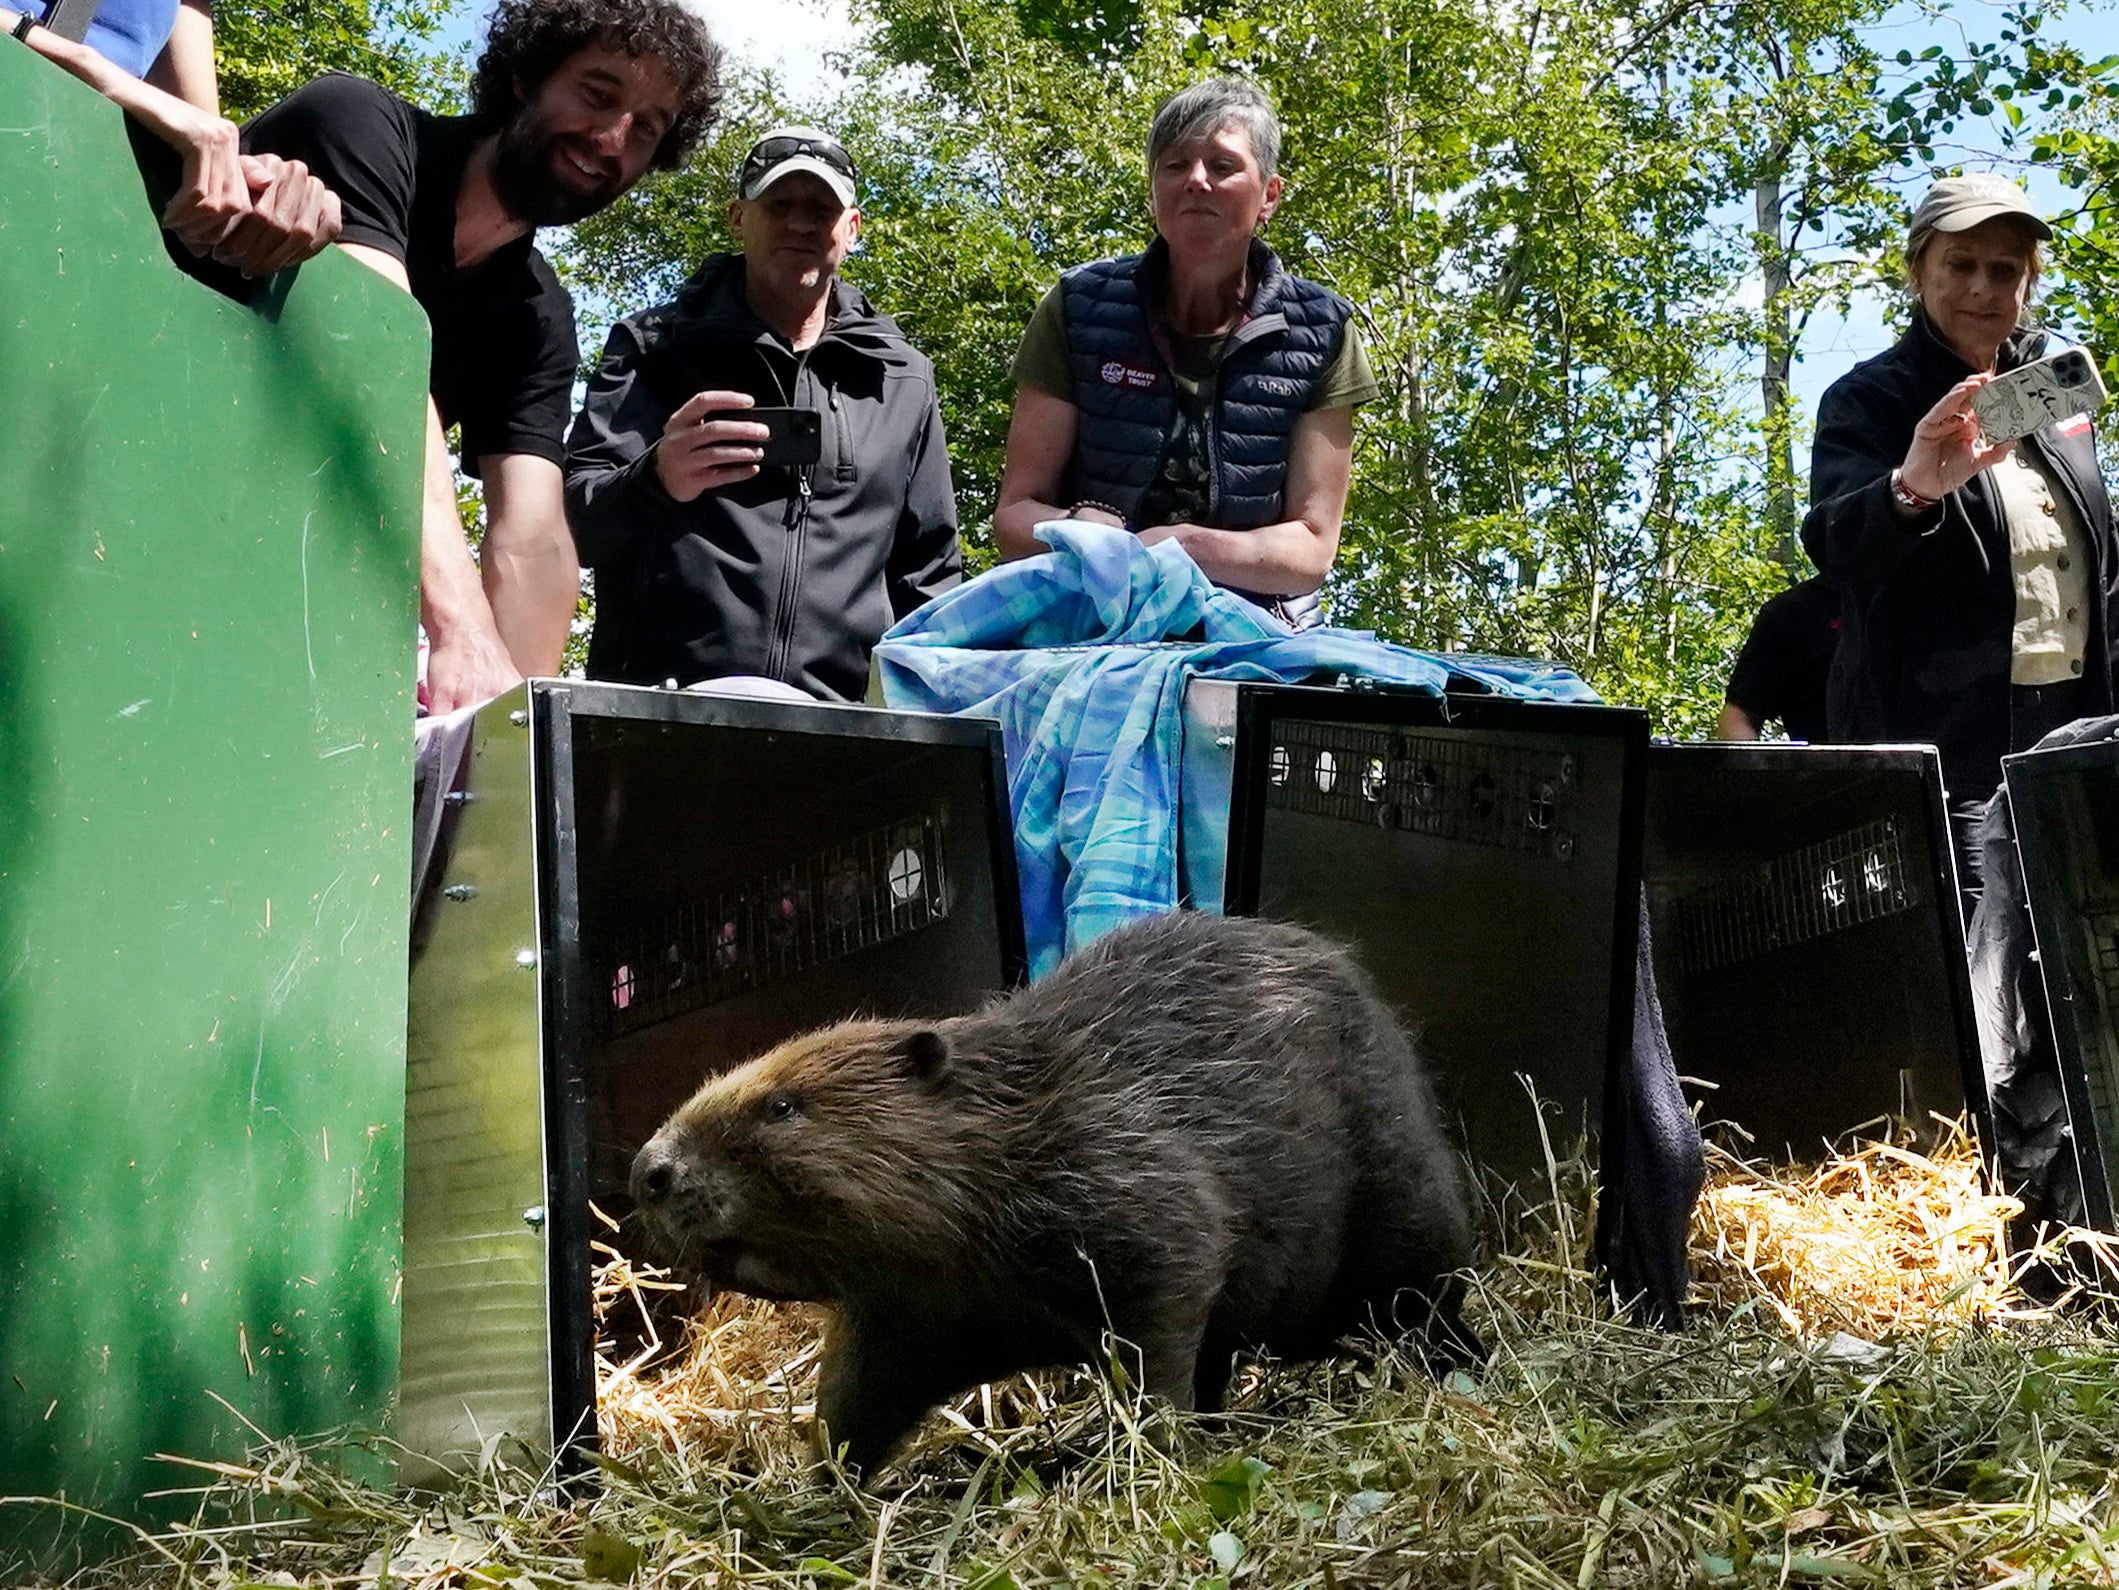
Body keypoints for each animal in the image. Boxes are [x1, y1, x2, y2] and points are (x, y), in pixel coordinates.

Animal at [631, 903, 1474, 1475]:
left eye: (780, 1106)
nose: (648, 1171)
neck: (1015, 1128)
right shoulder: (908, 1311)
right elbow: (855, 1397)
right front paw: (812, 1491)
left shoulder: (1123, 1184)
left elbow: (1169, 1298)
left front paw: (1154, 1454)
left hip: (1401, 1210)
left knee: (1429, 1298)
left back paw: (1461, 1367)